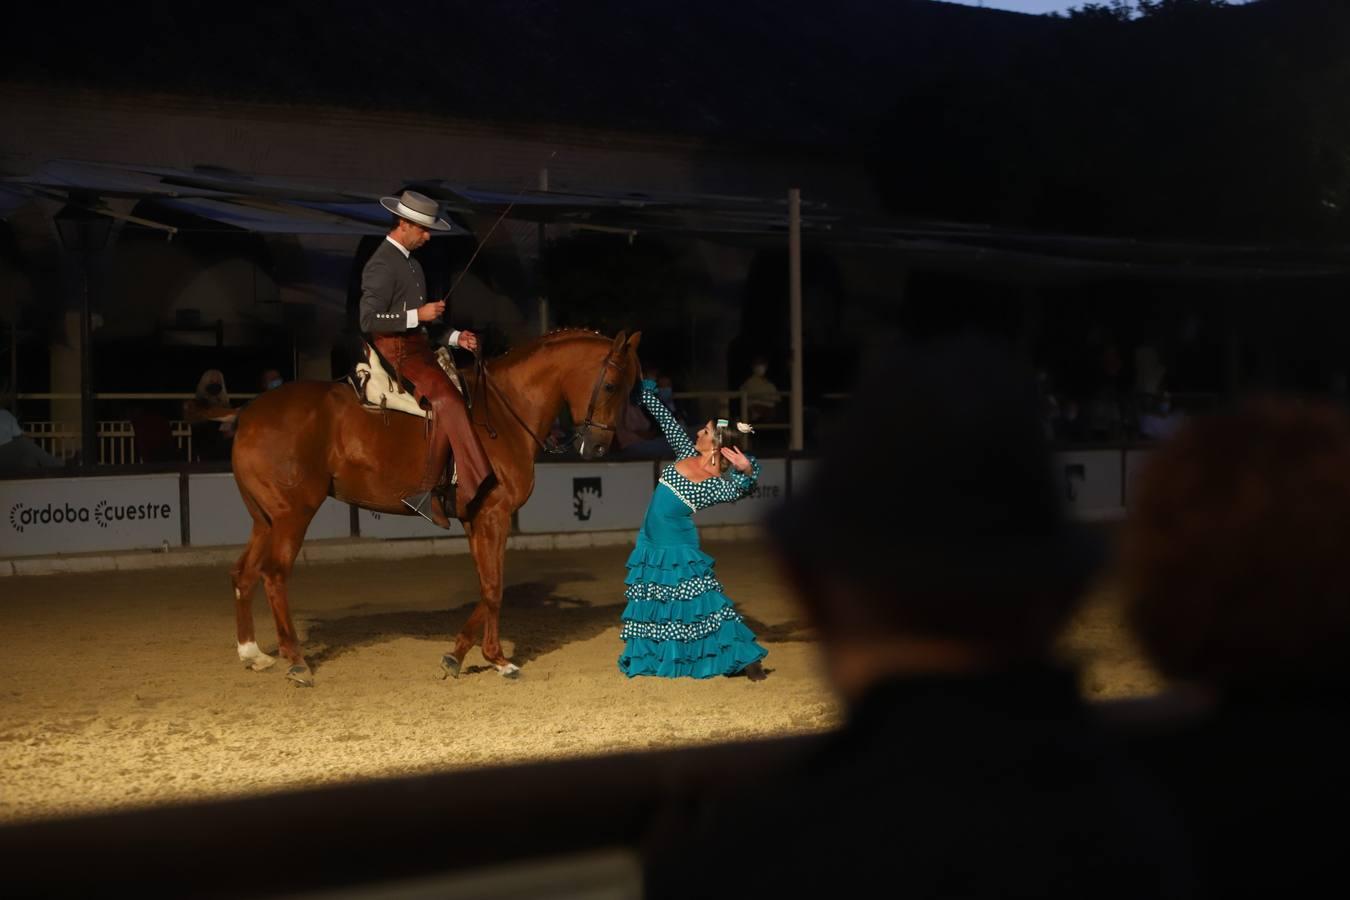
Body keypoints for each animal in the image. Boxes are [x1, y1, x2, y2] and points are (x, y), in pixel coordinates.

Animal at [229, 327, 639, 685]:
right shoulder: (495, 515)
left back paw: (253, 654)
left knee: (244, 573)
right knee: (274, 575)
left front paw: (458, 656)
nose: (598, 448)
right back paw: (296, 661)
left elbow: (488, 583)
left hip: (264, 518)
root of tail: (248, 415)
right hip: (292, 515)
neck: (502, 413)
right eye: (611, 385)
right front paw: (497, 659)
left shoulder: (476, 518)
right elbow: (494, 586)